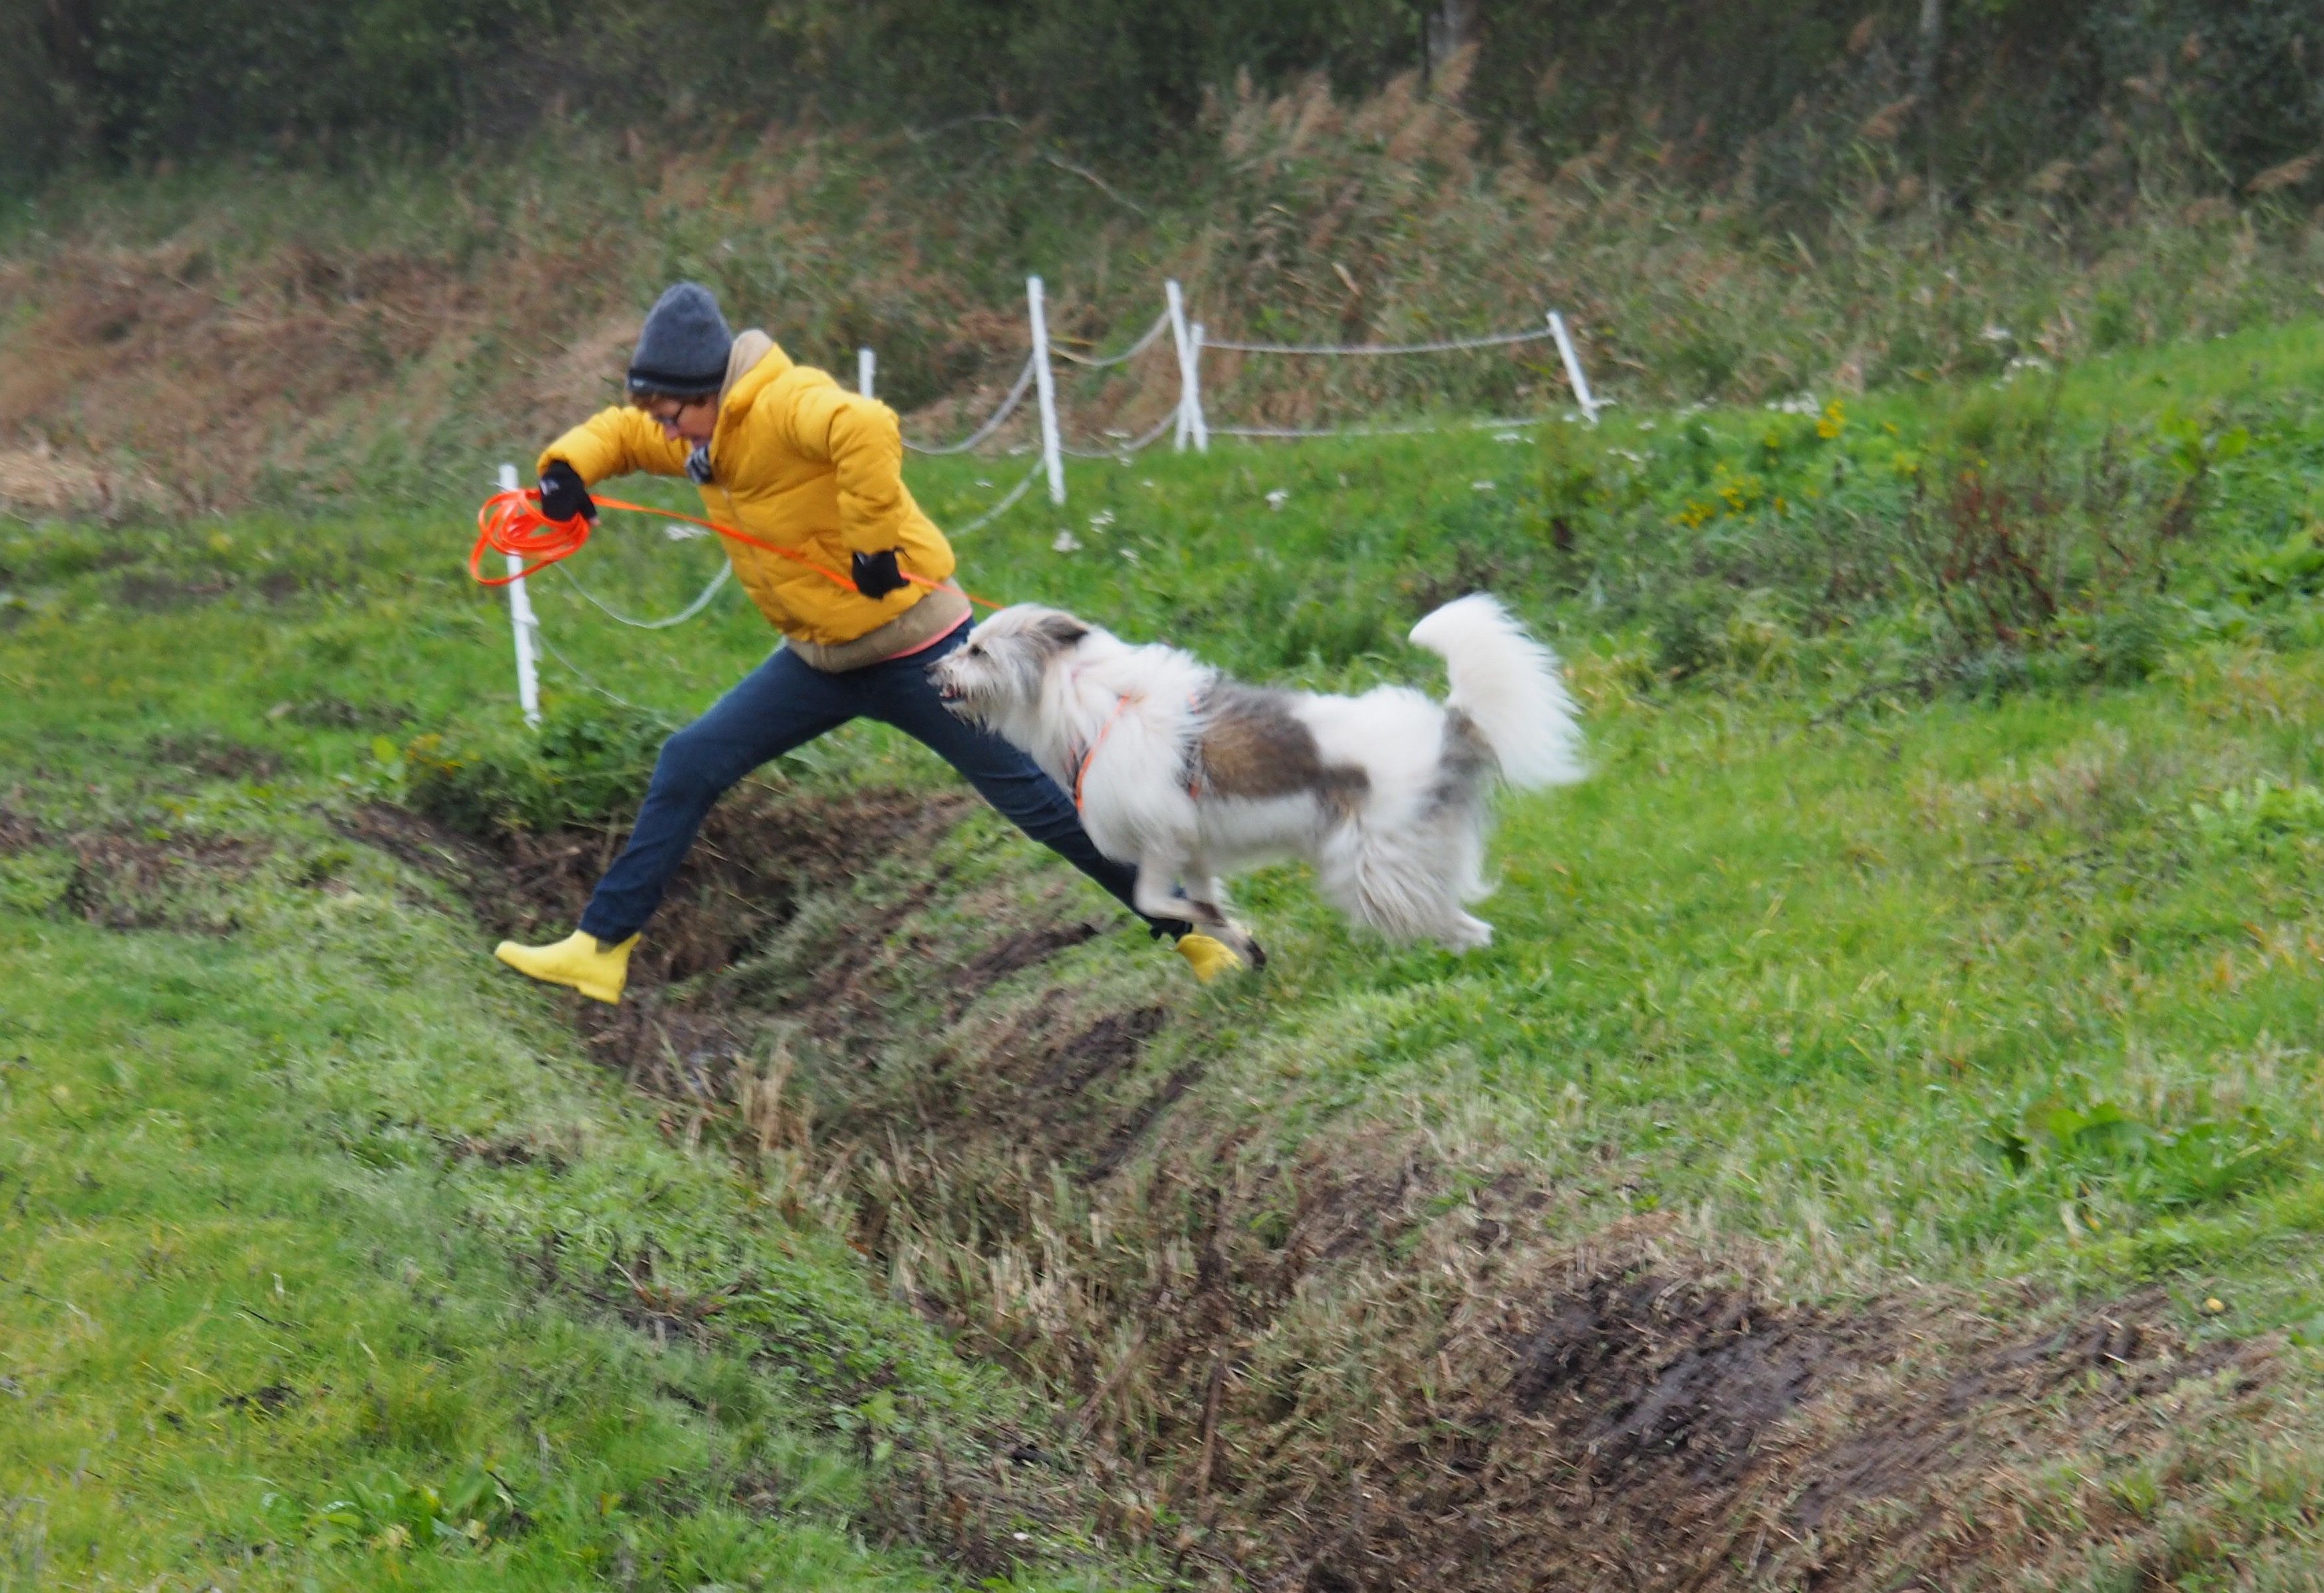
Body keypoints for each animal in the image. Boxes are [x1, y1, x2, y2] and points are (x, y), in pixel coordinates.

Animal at [934, 589, 1589, 956]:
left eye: (978, 651)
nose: (934, 670)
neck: (1087, 700)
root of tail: (1451, 724)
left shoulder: (1161, 835)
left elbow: (1152, 898)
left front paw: (1211, 923)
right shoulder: (1190, 850)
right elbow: (1193, 902)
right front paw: (1235, 937)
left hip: (1371, 861)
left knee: (1437, 914)